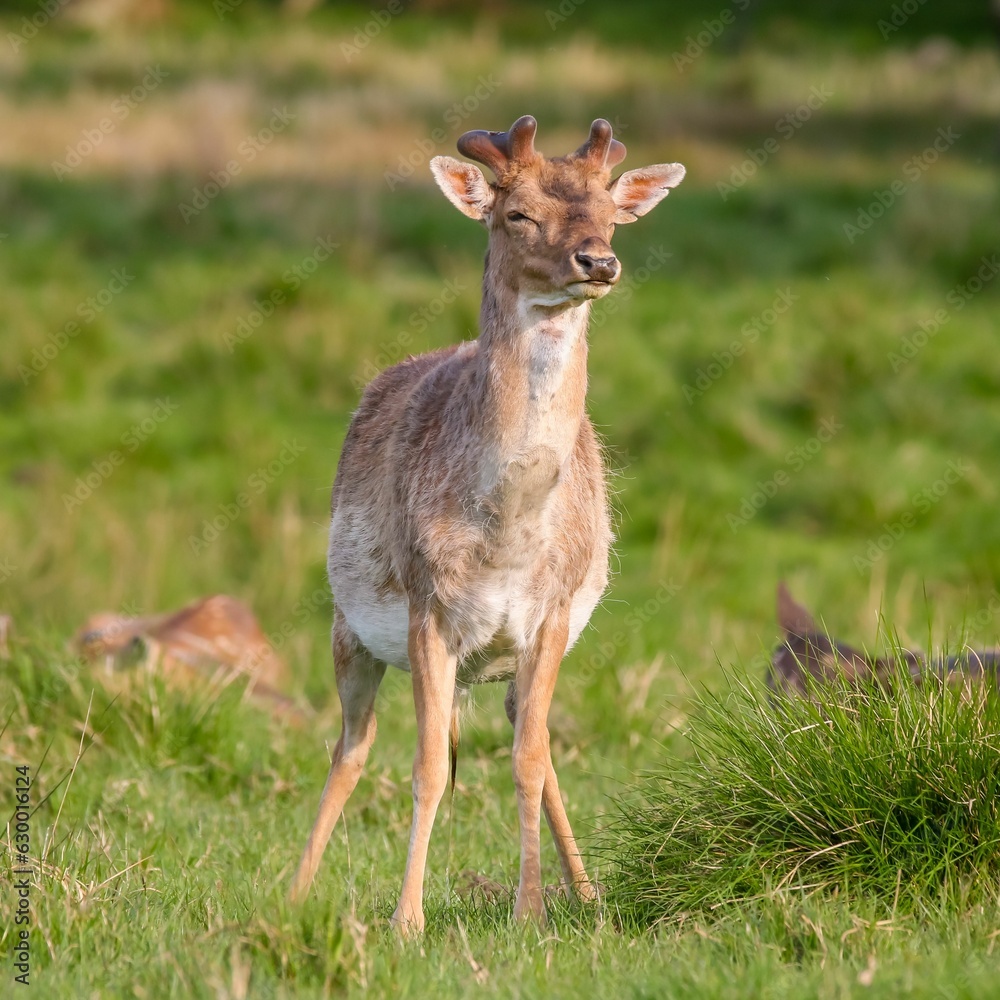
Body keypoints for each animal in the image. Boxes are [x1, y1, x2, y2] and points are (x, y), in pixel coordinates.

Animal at [286, 113, 684, 932]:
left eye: (609, 211)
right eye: (517, 214)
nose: (598, 261)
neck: (507, 536)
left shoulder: (551, 615)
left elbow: (529, 760)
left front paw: (532, 910)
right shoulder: (427, 608)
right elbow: (428, 766)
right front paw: (406, 920)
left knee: (536, 743)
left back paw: (588, 893)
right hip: (348, 627)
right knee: (351, 747)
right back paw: (294, 891)